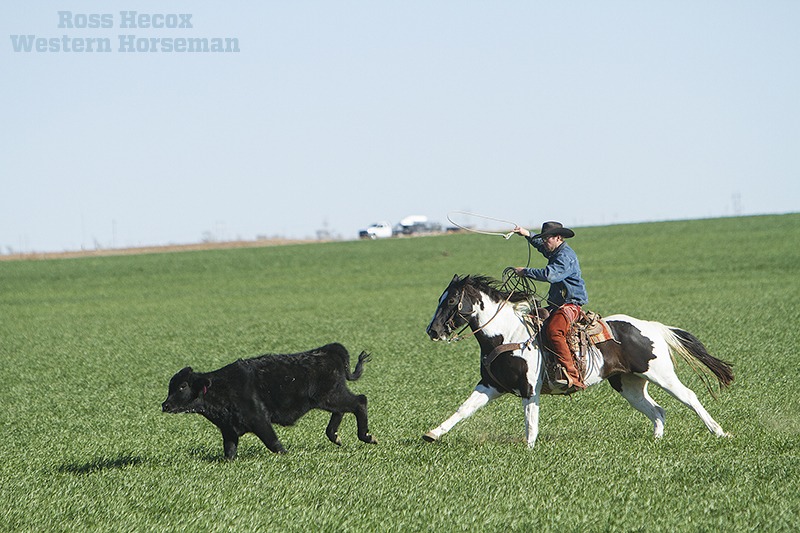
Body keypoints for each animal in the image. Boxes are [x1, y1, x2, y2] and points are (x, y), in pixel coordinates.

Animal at [423, 274, 733, 448]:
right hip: (629, 384)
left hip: (661, 374)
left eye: (450, 301)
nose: (433, 331)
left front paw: (529, 449)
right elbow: (464, 409)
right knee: (657, 410)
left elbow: (530, 419)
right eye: (439, 298)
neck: (507, 334)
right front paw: (433, 434)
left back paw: (719, 432)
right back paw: (657, 440)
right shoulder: (490, 385)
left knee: (690, 397)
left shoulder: (529, 389)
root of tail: (652, 326)